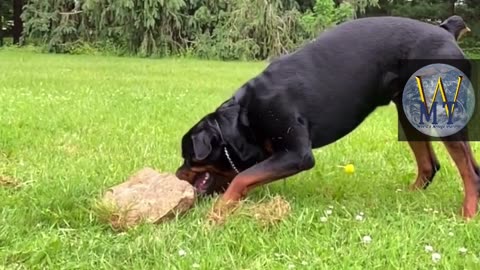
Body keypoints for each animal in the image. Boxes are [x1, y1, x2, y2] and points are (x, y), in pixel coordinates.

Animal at [177, 15, 480, 218]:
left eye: (189, 157)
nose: (178, 174)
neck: (243, 119)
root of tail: (446, 31)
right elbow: (247, 176)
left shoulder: (297, 154)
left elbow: (241, 178)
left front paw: (218, 213)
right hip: (410, 113)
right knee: (431, 165)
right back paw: (409, 199)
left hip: (441, 111)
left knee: (469, 171)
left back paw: (466, 215)